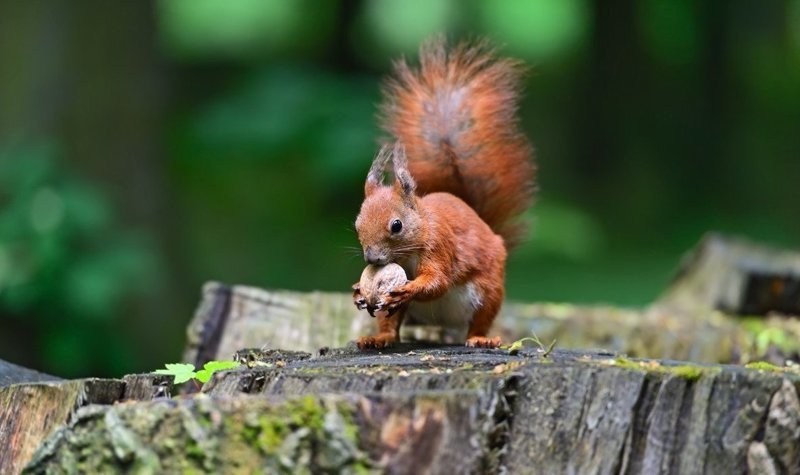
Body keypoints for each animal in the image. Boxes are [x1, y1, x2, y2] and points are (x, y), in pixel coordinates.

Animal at [352, 38, 536, 350]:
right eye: (356, 225)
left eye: (396, 225)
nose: (372, 259)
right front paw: (357, 290)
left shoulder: (441, 245)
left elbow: (438, 281)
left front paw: (409, 289)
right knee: (391, 323)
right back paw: (378, 338)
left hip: (489, 291)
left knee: (480, 320)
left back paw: (480, 339)